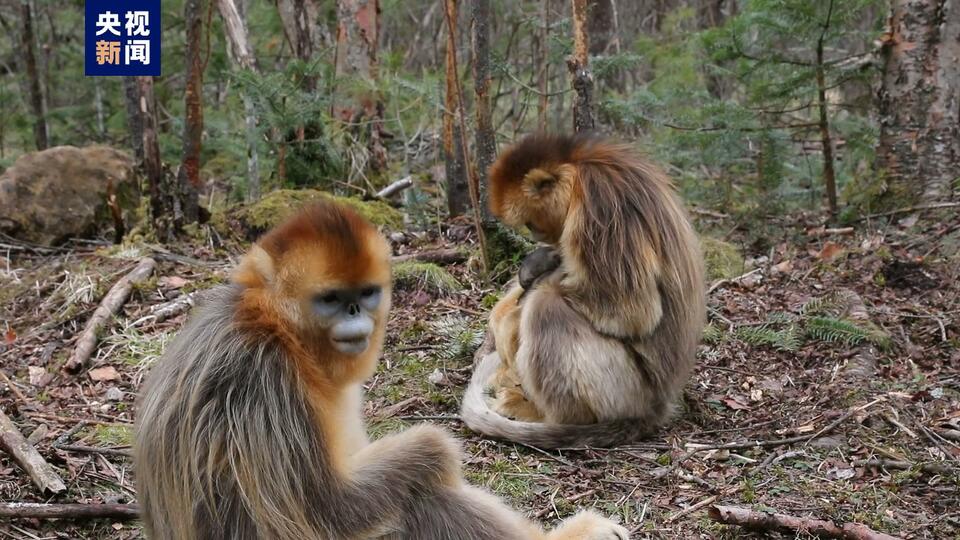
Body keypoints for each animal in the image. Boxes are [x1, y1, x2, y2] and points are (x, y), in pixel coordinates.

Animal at [135, 201, 632, 540]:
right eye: (332, 299)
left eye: (366, 293)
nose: (356, 313)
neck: (278, 329)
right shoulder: (263, 380)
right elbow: (332, 508)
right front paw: (436, 446)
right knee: (418, 497)